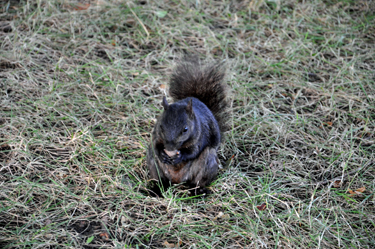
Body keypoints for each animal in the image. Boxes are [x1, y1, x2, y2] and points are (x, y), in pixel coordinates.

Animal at [147, 55, 229, 196]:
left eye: (185, 129)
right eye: (161, 127)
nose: (169, 148)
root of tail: (176, 180)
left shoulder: (201, 135)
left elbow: (193, 151)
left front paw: (181, 156)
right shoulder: (156, 135)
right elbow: (155, 145)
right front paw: (162, 153)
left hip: (207, 163)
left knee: (198, 180)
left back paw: (198, 191)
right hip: (153, 163)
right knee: (159, 177)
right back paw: (157, 188)